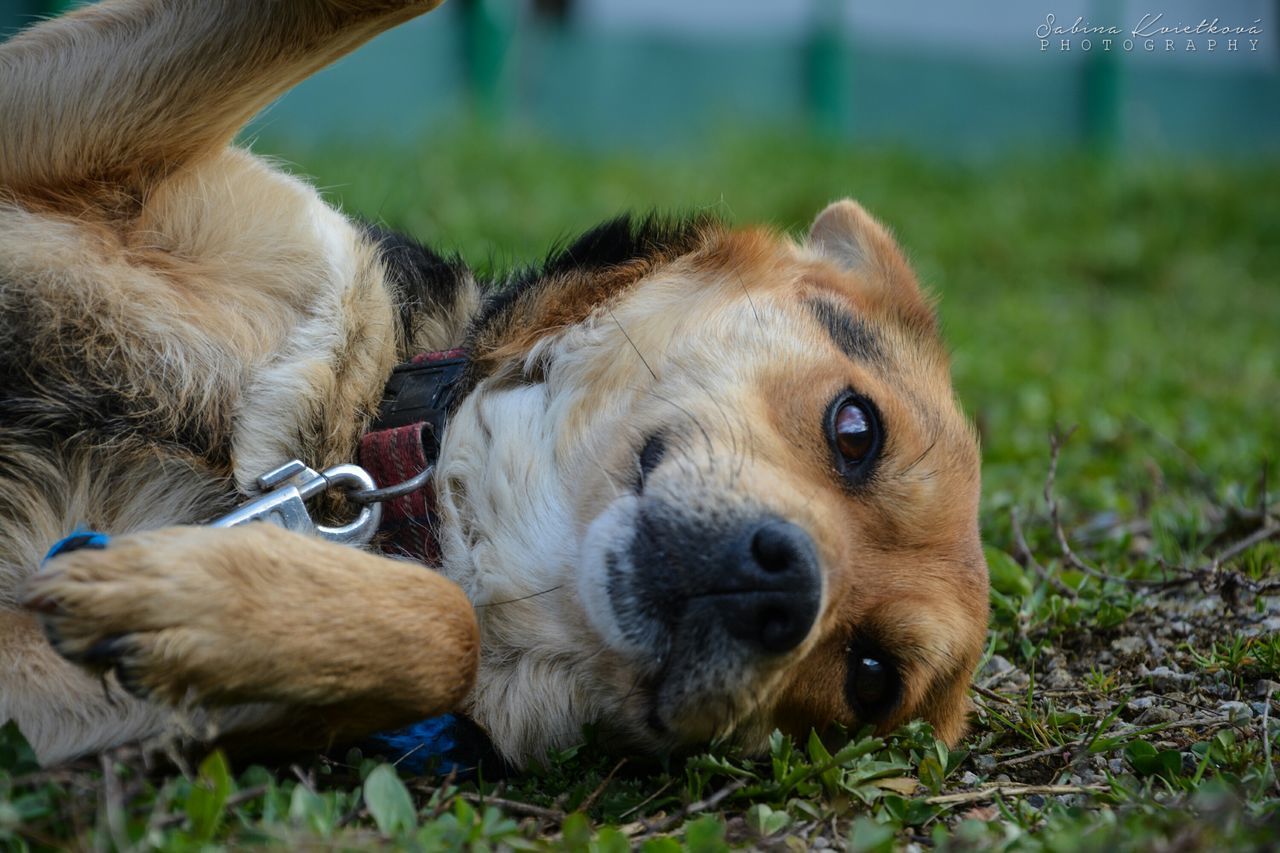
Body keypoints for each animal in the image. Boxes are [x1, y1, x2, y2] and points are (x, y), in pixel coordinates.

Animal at [0, 0, 988, 768]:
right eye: (856, 429)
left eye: (869, 678)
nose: (786, 587)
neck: (362, 460)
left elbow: (451, 632)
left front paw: (202, 605)